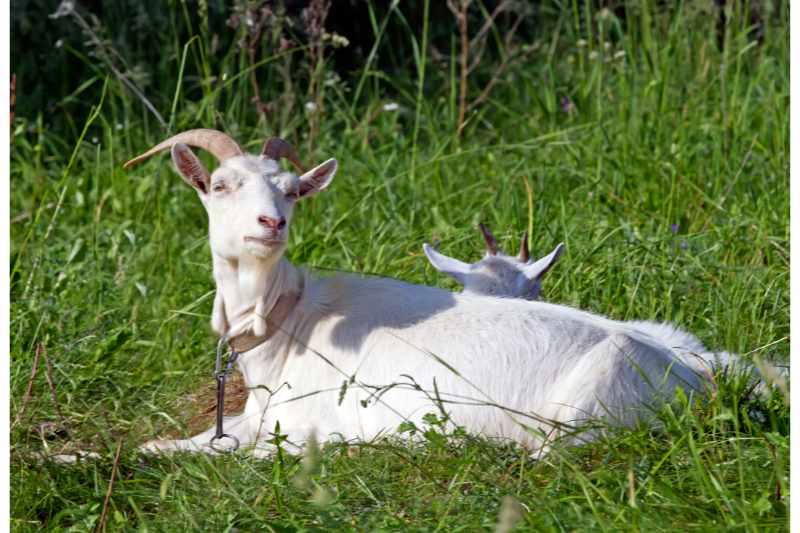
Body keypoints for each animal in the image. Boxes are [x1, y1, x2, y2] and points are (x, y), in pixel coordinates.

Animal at [125, 130, 708, 458]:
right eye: (219, 186)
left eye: (292, 190)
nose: (272, 222)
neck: (289, 324)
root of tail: (696, 380)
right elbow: (167, 445)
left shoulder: (300, 432)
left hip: (587, 406)